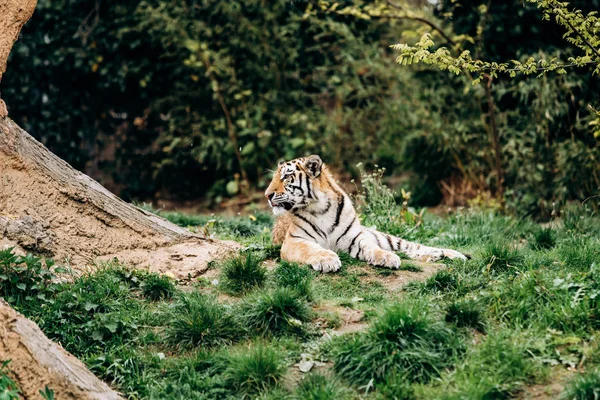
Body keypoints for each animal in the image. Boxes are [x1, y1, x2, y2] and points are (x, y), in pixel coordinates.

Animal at [264, 155, 466, 274]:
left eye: (286, 177)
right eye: (274, 178)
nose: (267, 195)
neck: (319, 207)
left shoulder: (356, 238)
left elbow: (373, 247)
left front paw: (386, 258)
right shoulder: (294, 241)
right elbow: (311, 249)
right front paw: (327, 260)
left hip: (387, 238)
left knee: (413, 247)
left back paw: (451, 254)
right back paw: (436, 256)